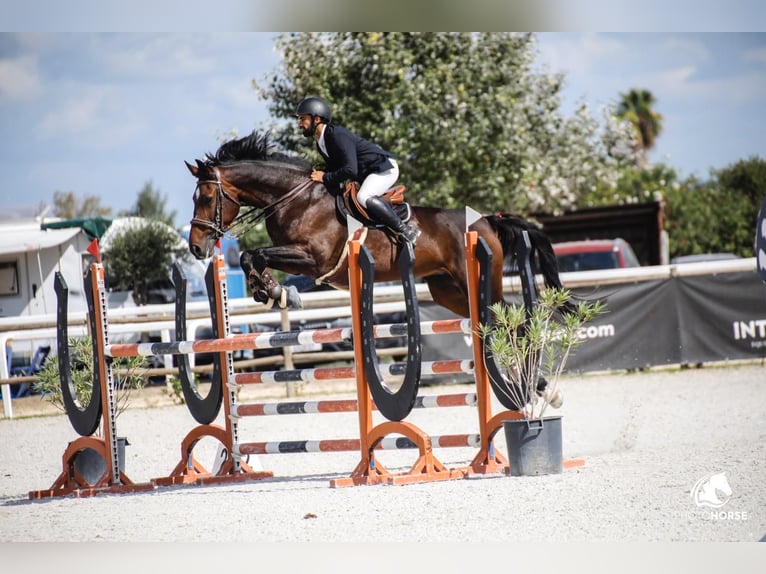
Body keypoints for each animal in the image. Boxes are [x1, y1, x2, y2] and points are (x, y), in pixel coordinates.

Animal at [185, 130, 564, 319]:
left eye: (206, 197)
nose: (196, 247)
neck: (295, 198)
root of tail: (485, 221)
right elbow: (251, 256)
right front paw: (271, 291)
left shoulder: (313, 259)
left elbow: (258, 254)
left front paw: (275, 291)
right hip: (445, 288)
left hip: (478, 278)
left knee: (507, 315)